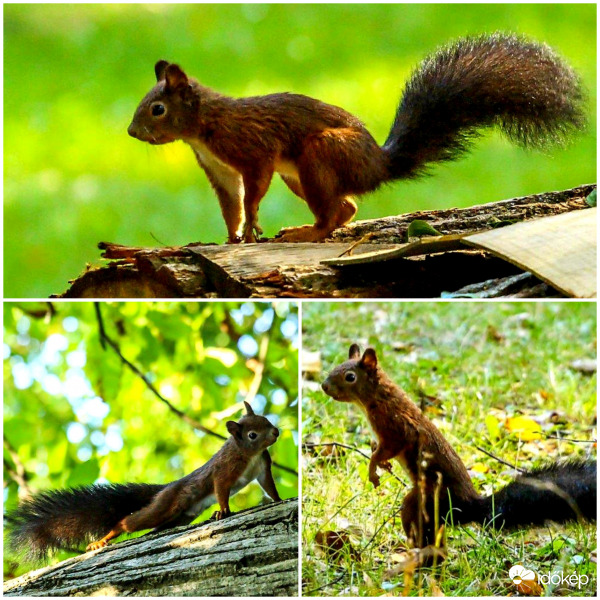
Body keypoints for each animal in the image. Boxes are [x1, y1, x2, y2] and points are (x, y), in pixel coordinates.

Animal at [5, 400, 282, 560]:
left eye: (266, 419)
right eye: (253, 434)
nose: (276, 432)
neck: (249, 453)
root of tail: (166, 489)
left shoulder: (262, 466)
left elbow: (268, 485)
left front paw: (278, 499)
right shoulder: (225, 469)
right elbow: (221, 487)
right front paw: (223, 510)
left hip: (180, 516)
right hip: (167, 505)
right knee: (128, 522)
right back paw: (103, 539)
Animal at [127, 32, 584, 244]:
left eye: (157, 109)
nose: (132, 132)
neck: (204, 126)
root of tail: (377, 163)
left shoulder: (253, 148)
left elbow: (253, 191)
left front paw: (253, 224)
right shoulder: (219, 171)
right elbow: (230, 205)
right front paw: (233, 238)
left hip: (319, 154)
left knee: (331, 216)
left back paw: (306, 232)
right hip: (301, 175)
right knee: (346, 207)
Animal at [322, 346, 592, 548]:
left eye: (350, 377)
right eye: (335, 367)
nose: (324, 386)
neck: (377, 397)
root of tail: (470, 506)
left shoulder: (395, 426)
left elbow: (389, 447)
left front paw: (374, 468)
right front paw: (383, 464)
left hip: (427, 499)